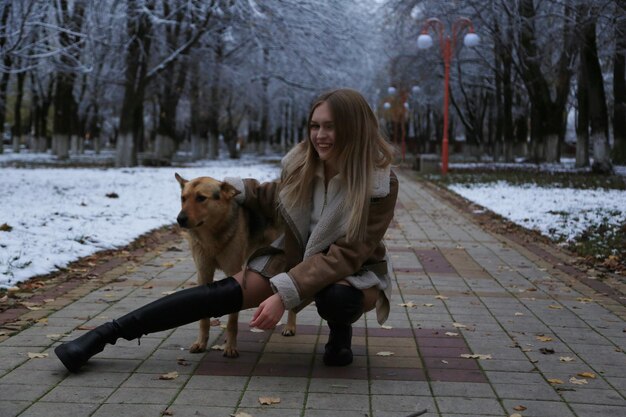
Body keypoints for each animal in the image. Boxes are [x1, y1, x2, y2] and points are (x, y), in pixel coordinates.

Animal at [173, 174, 294, 356]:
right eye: (183, 198)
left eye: (201, 198)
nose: (180, 219)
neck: (212, 237)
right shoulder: (203, 272)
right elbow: (204, 319)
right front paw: (201, 342)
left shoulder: (233, 272)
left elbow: (232, 320)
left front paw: (230, 346)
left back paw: (290, 326)